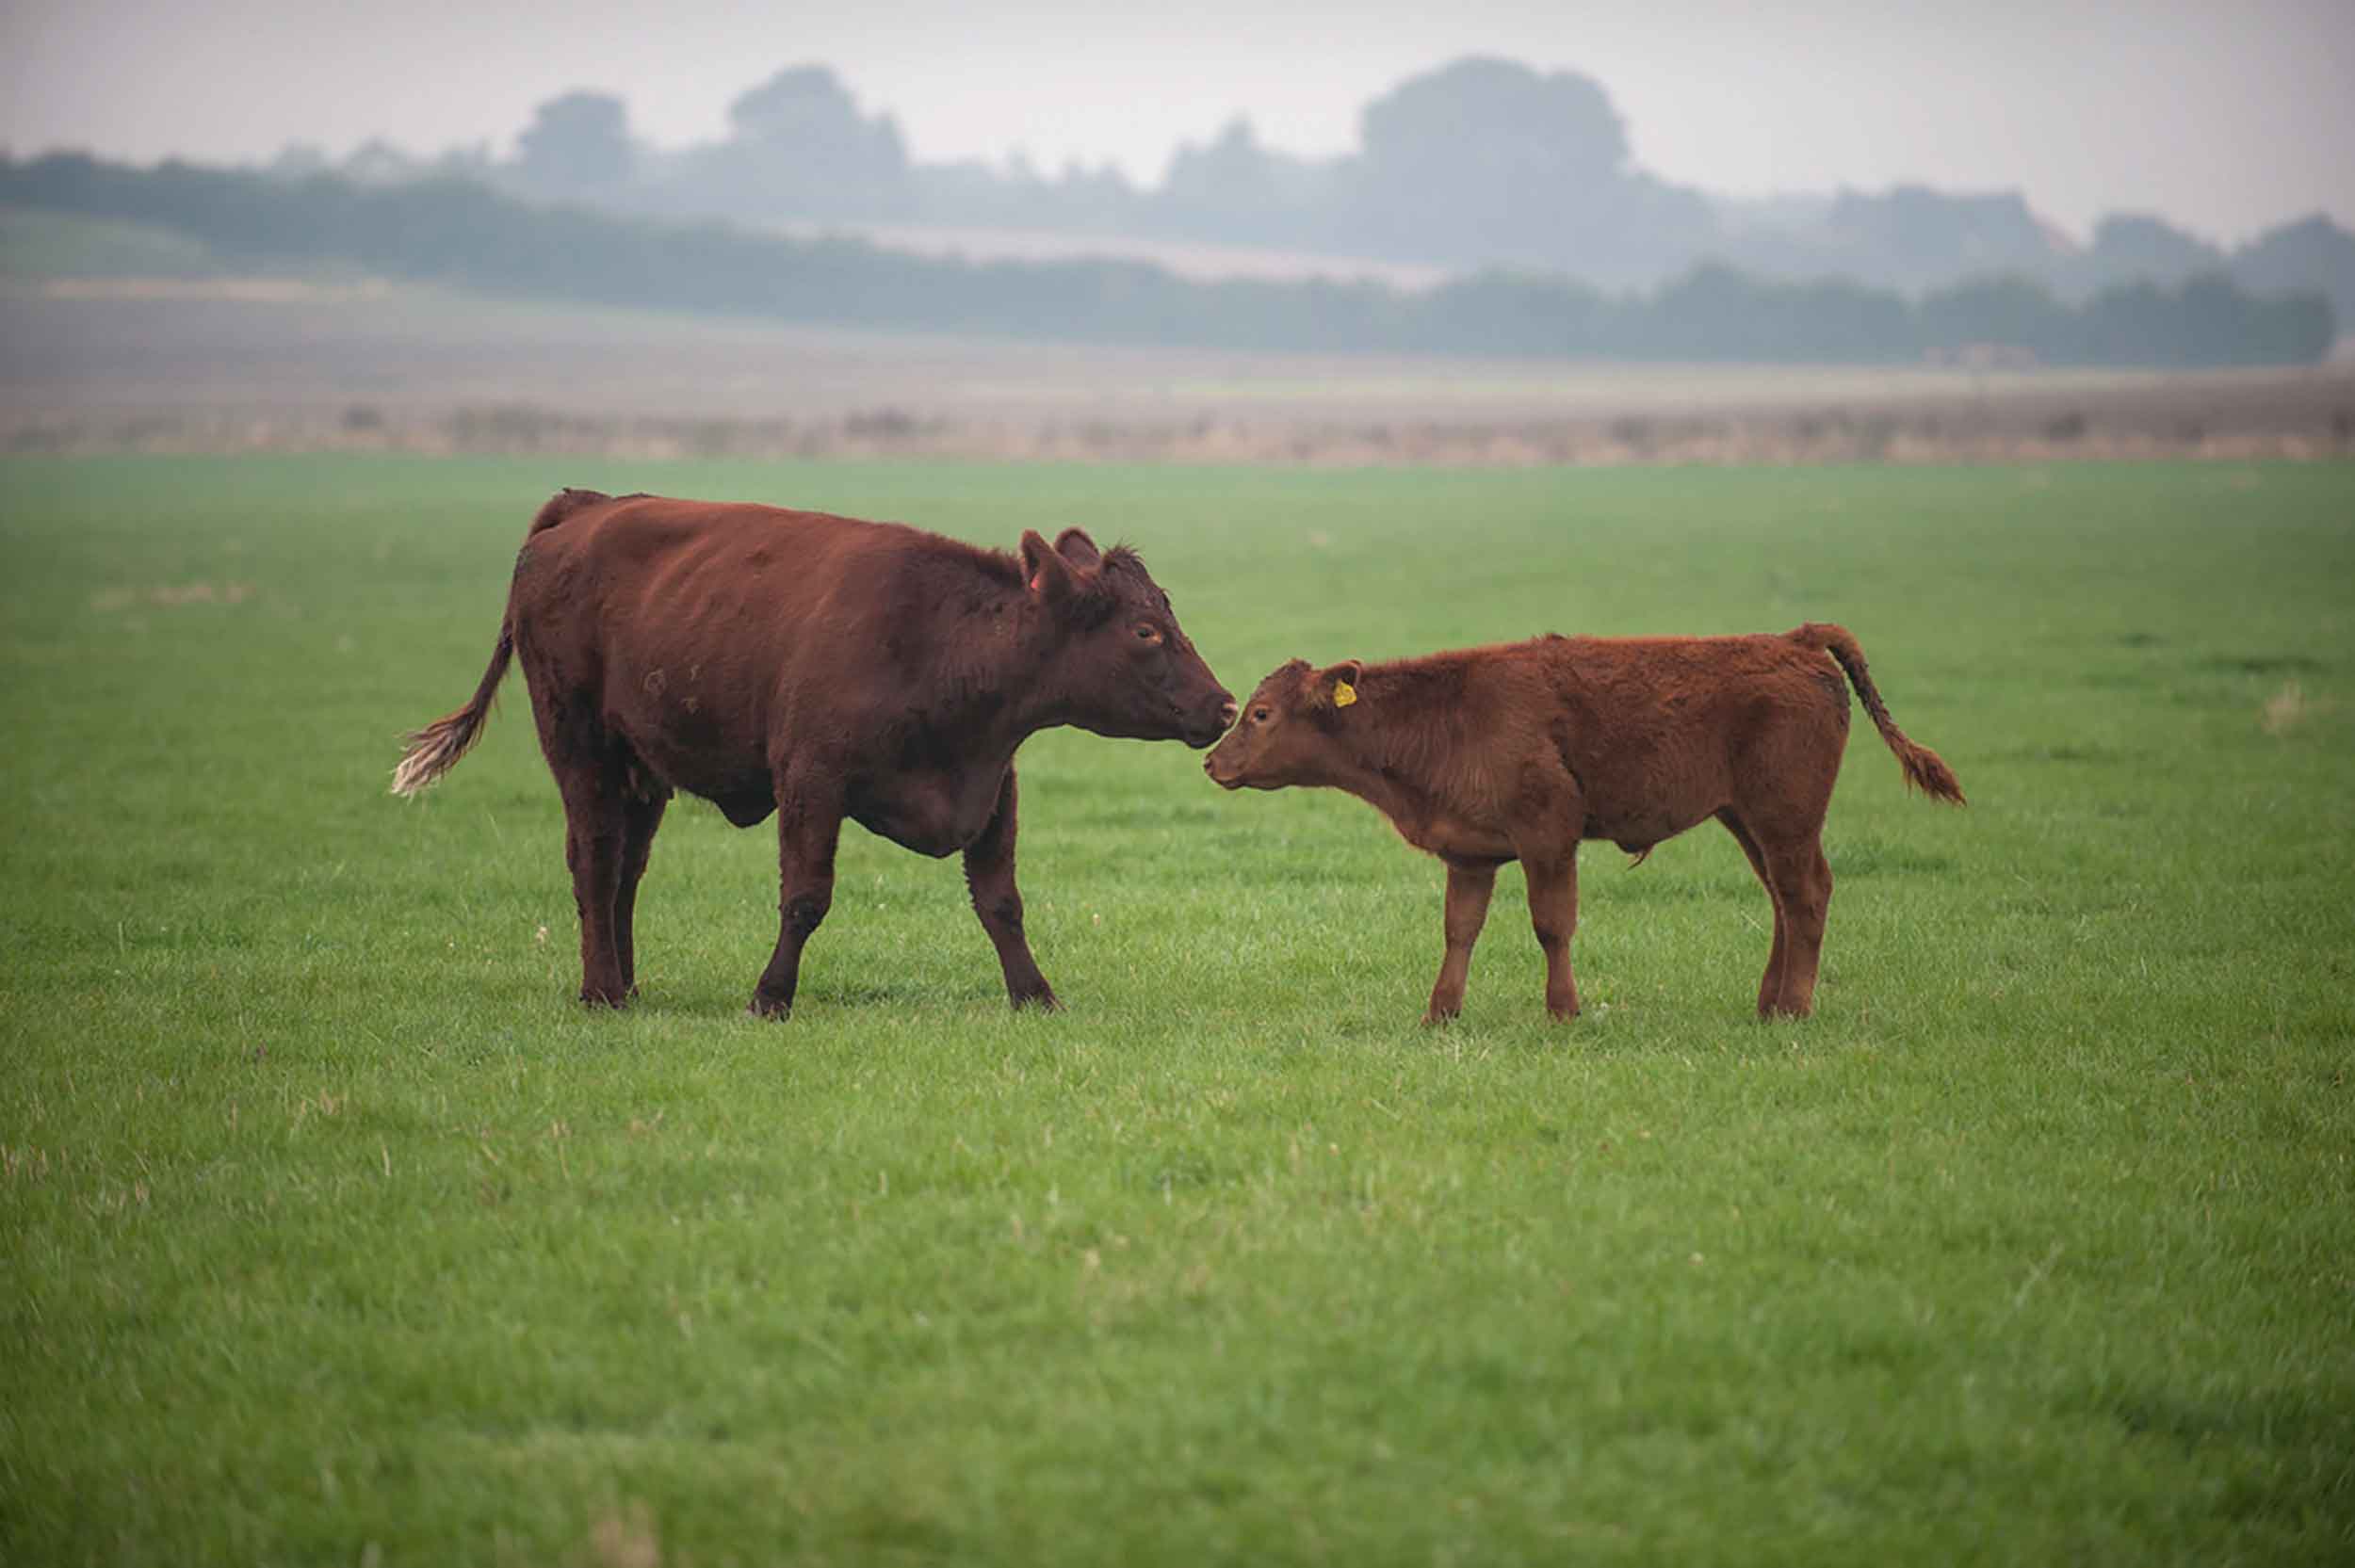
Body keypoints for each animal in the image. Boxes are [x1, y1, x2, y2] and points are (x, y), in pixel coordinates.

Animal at [391, 490, 1234, 1012]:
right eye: (1145, 630)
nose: (1225, 705)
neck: (940, 642)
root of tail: (582, 510)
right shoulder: (810, 782)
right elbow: (806, 896)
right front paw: (771, 995)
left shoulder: (994, 789)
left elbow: (1001, 901)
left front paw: (1036, 995)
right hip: (579, 745)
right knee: (594, 858)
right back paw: (600, 989)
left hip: (642, 770)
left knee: (626, 866)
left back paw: (627, 985)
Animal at [1206, 622, 1959, 1026]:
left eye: (1263, 714)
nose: (1212, 760)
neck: (1445, 716)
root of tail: (1793, 640)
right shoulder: (1470, 855)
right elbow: (1459, 930)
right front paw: (1439, 1012)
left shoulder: (1549, 835)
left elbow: (1552, 923)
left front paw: (1562, 1009)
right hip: (1746, 818)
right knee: (1784, 897)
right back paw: (1768, 1003)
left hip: (1784, 816)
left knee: (1805, 896)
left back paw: (1794, 1007)